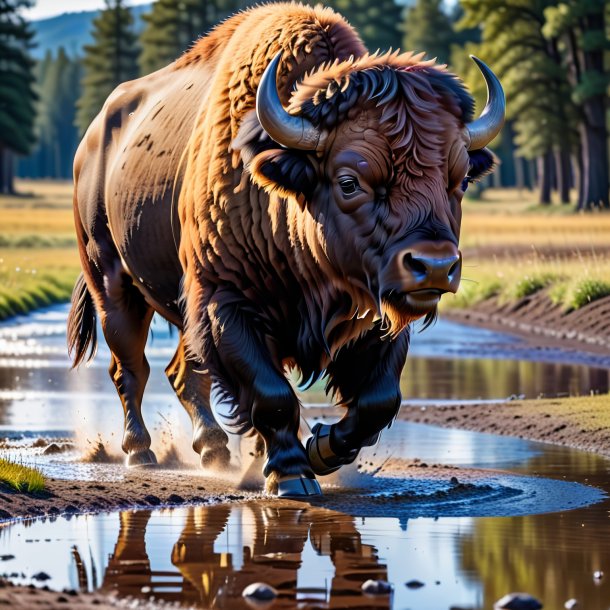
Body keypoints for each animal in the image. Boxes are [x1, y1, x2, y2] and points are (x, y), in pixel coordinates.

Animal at [67, 1, 504, 494]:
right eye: (349, 181)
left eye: (460, 179)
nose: (434, 266)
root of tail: (92, 141)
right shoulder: (226, 304)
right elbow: (271, 394)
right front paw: (292, 474)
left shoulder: (376, 314)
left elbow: (379, 400)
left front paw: (321, 449)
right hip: (112, 283)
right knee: (130, 368)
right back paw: (140, 452)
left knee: (182, 373)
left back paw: (214, 450)